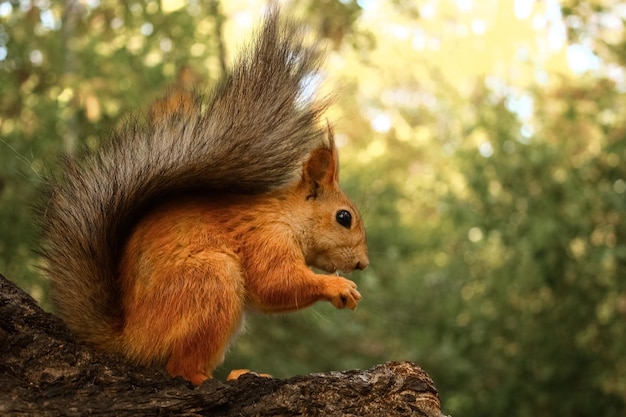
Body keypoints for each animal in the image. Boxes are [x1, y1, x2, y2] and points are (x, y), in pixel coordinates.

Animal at [36, 8, 368, 386]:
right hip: (210, 282)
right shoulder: (266, 237)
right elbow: (274, 282)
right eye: (344, 217)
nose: (362, 263)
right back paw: (208, 378)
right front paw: (337, 287)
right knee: (180, 367)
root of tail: (131, 338)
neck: (286, 215)